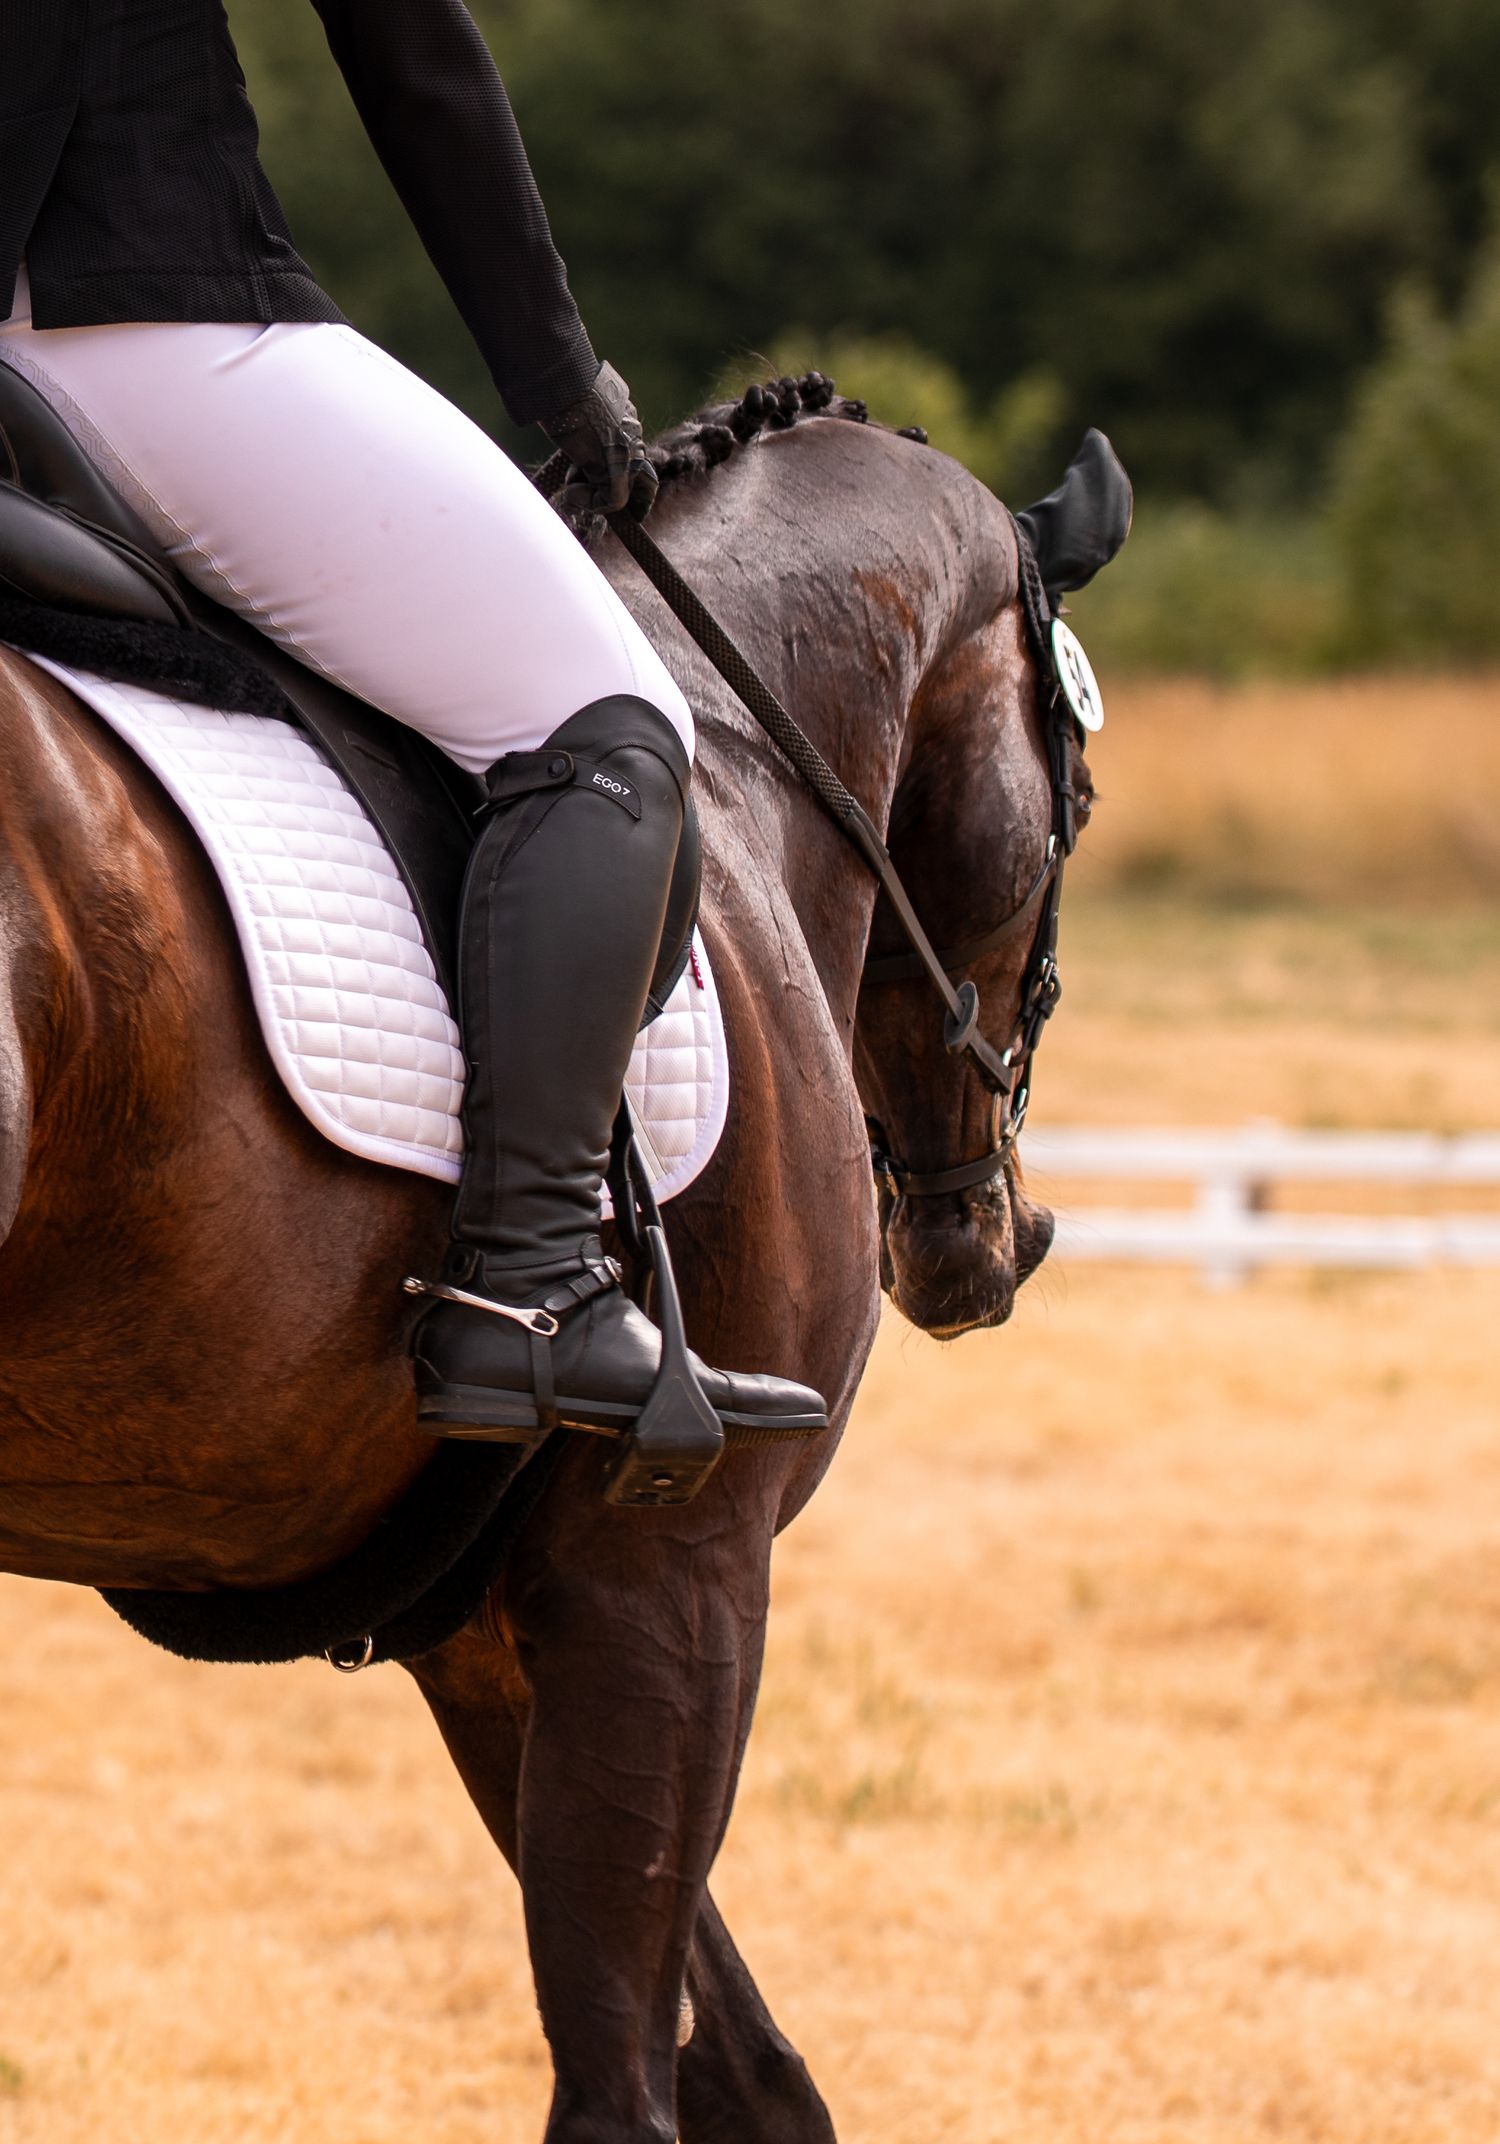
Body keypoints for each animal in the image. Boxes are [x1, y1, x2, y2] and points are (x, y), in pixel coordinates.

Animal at [0, 379, 1121, 2142]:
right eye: (1076, 802)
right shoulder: (674, 1562)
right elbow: (629, 2084)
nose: (994, 1240)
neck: (745, 767)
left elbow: (749, 2073)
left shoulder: (480, 1623)